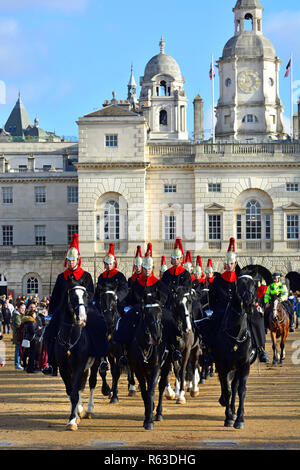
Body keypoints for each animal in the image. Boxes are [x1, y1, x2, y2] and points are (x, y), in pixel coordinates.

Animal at [54, 280, 107, 430]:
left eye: (86, 296)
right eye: (72, 296)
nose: (82, 319)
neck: (69, 338)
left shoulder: (79, 366)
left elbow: (74, 393)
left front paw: (72, 420)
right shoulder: (64, 368)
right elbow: (70, 390)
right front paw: (75, 414)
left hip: (94, 364)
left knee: (92, 382)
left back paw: (89, 410)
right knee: (79, 386)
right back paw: (80, 410)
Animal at [127, 294, 172, 430]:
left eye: (160, 312)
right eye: (146, 313)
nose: (157, 337)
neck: (145, 346)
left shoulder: (156, 368)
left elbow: (151, 391)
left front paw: (149, 421)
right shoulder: (138, 370)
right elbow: (145, 393)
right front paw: (147, 415)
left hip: (166, 365)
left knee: (161, 386)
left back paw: (158, 413)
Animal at [209, 276, 255, 430]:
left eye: (254, 284)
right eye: (239, 284)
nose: (249, 301)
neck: (236, 333)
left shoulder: (244, 365)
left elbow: (241, 390)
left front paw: (239, 419)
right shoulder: (222, 365)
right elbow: (227, 389)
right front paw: (228, 417)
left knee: (234, 386)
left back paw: (233, 411)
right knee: (227, 387)